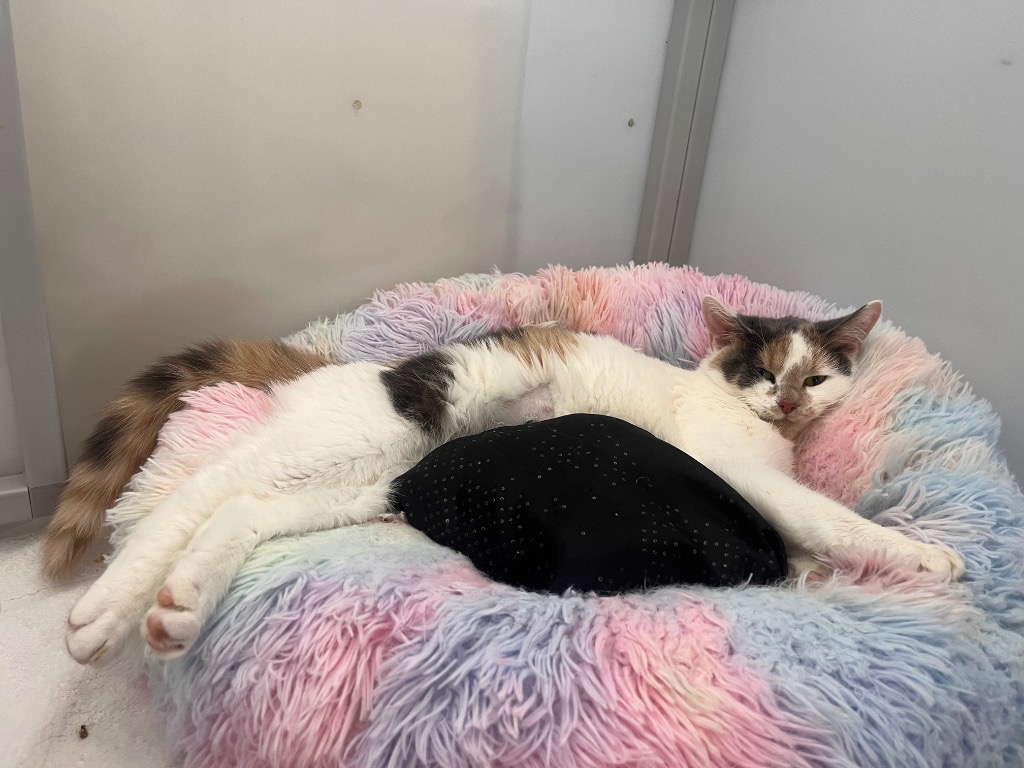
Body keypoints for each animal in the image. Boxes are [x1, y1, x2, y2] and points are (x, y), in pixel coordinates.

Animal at [63, 297, 965, 665]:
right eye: (766, 372)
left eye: (816, 379)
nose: (786, 401)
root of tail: (343, 369)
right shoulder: (741, 476)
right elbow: (828, 517)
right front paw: (923, 557)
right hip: (353, 436)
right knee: (195, 489)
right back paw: (104, 610)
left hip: (362, 483)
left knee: (239, 511)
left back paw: (177, 609)